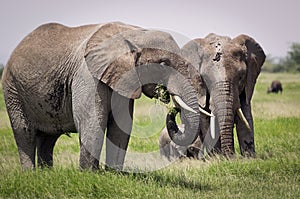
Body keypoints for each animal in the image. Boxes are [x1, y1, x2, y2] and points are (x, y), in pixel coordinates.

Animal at [2, 22, 200, 171]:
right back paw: (31, 174)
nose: (173, 107)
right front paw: (89, 174)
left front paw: (114, 174)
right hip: (12, 90)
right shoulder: (88, 76)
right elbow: (92, 122)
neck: (132, 32)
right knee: (24, 133)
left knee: (48, 138)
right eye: (163, 64)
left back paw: (47, 174)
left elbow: (121, 126)